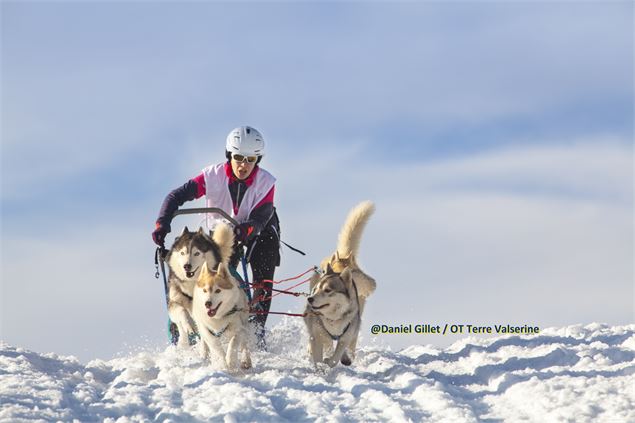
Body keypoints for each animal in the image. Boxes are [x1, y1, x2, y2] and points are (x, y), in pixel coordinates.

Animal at [304, 202, 376, 368]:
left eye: (328, 290)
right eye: (316, 289)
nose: (310, 299)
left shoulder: (346, 334)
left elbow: (335, 357)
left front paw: (330, 361)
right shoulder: (316, 333)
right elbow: (319, 350)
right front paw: (320, 367)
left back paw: (347, 357)